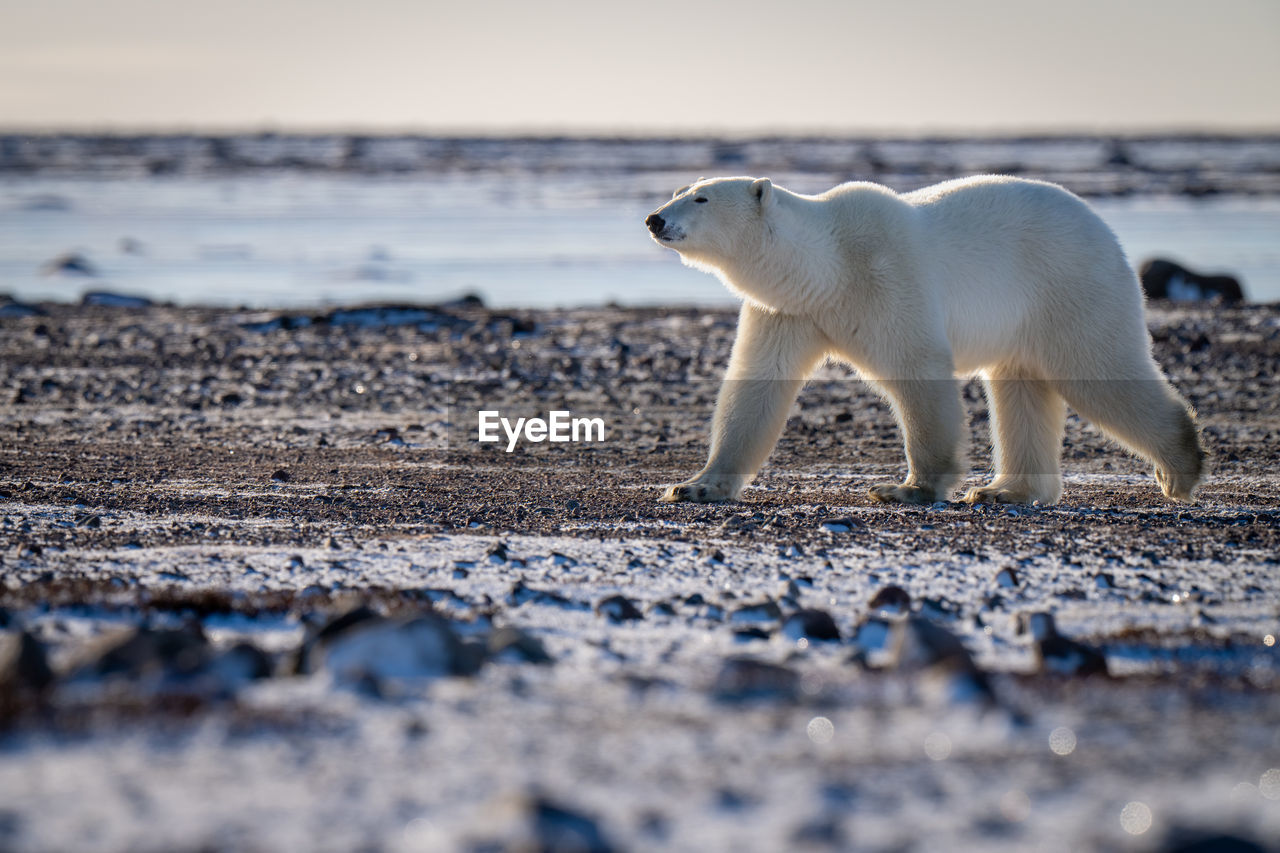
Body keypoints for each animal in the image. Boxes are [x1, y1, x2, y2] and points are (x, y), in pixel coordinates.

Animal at [645, 175, 1203, 502]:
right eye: (677, 191)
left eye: (701, 197)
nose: (655, 218)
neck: (825, 266)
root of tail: (1107, 233)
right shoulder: (789, 311)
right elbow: (756, 386)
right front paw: (695, 485)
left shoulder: (887, 279)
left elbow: (918, 372)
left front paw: (909, 488)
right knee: (1021, 389)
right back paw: (1006, 490)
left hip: (1068, 287)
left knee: (1098, 370)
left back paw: (1180, 469)